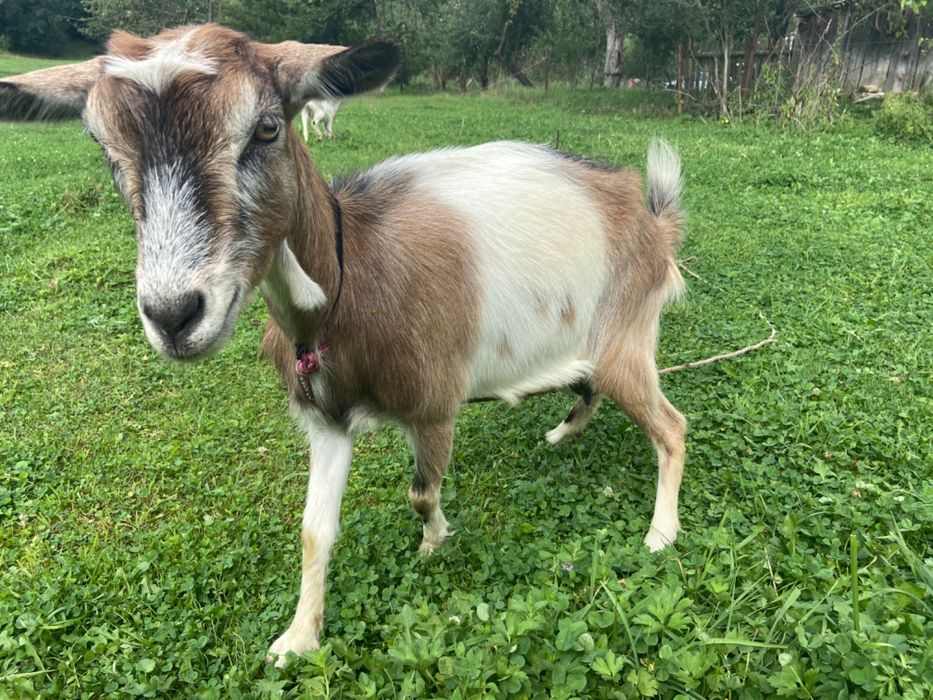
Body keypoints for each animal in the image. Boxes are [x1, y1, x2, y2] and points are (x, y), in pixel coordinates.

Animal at [0, 24, 688, 665]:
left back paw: (660, 534)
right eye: (102, 145)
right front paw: (298, 638)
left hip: (626, 336)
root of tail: (653, 218)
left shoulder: (434, 403)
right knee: (589, 385)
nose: (173, 315)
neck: (351, 283)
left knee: (670, 426)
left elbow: (421, 491)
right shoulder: (324, 420)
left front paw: (435, 540)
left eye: (267, 128)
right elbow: (313, 531)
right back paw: (563, 432)